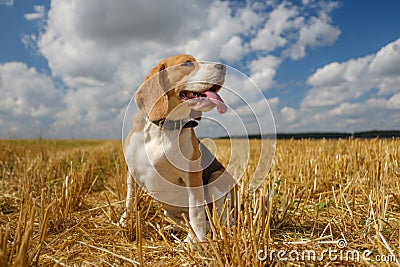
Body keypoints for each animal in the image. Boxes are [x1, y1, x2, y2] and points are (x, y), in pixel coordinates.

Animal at [120, 54, 236, 243]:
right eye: (187, 63)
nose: (223, 67)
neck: (164, 128)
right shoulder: (132, 173)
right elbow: (129, 200)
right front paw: (124, 222)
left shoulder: (192, 177)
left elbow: (196, 212)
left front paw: (198, 241)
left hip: (218, 177)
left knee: (218, 220)